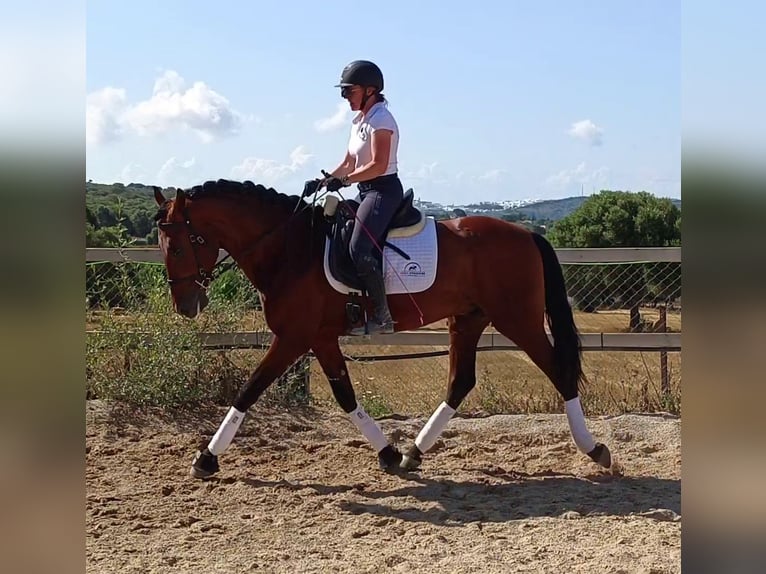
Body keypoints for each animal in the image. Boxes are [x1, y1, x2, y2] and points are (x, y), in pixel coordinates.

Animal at [153, 179, 616, 476]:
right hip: (468, 320)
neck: (290, 248)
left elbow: (249, 390)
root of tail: (526, 234)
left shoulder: (294, 338)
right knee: (460, 383)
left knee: (559, 371)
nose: (186, 306)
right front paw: (390, 454)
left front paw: (206, 458)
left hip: (516, 319)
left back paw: (594, 449)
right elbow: (345, 396)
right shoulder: (320, 338)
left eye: (178, 247)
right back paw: (414, 452)